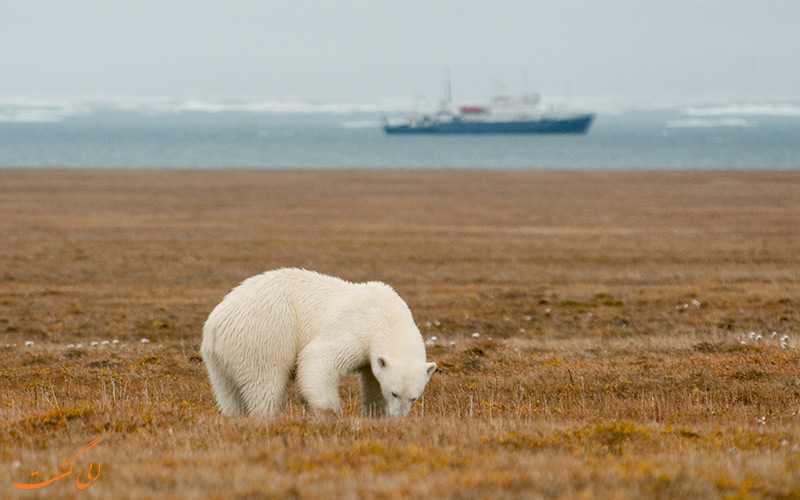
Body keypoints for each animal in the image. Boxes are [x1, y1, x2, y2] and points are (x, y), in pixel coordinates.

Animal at [202, 270, 438, 418]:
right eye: (395, 393)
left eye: (414, 398)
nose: (398, 417)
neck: (385, 314)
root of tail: (215, 324)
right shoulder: (354, 328)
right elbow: (318, 359)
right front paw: (327, 413)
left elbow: (373, 381)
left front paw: (378, 415)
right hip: (264, 334)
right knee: (266, 382)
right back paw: (267, 416)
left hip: (219, 360)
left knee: (227, 391)